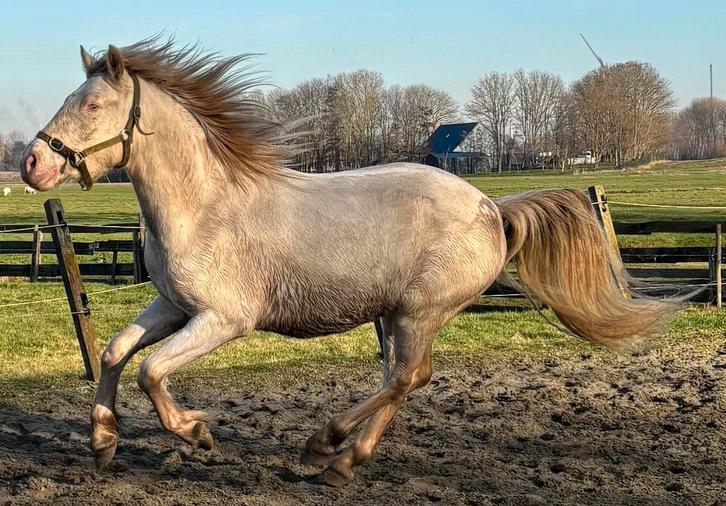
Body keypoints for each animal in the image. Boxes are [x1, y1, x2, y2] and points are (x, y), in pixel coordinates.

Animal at [20, 38, 677, 487]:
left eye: (93, 105)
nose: (31, 164)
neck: (204, 205)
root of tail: (493, 207)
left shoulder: (224, 320)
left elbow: (151, 372)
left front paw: (195, 432)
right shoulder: (172, 305)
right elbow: (114, 353)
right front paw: (103, 441)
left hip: (419, 312)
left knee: (405, 378)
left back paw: (329, 449)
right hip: (400, 315)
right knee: (406, 378)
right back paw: (341, 455)